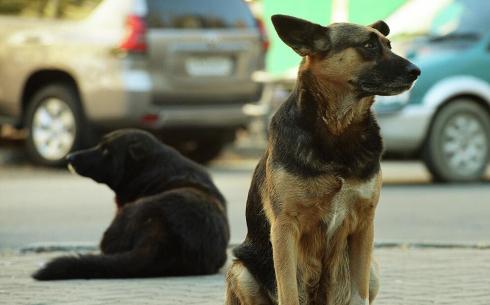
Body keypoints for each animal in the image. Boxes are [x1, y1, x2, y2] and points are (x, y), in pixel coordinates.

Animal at [224, 14, 420, 304]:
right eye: (369, 45)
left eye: (389, 44)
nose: (416, 71)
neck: (338, 130)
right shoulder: (285, 228)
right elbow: (288, 292)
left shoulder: (364, 225)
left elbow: (359, 294)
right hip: (241, 271)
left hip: (373, 268)